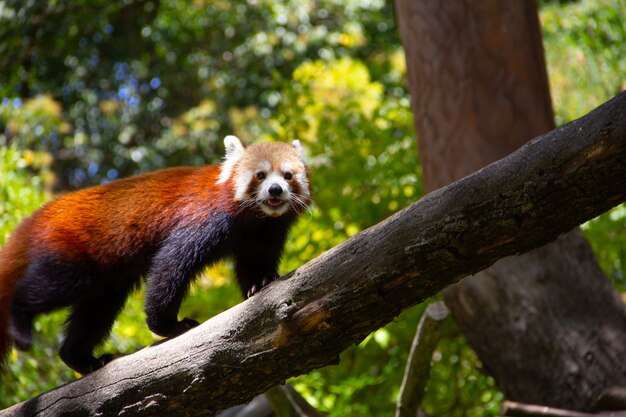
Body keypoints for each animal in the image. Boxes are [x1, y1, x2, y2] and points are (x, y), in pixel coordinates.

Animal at [0, 136, 310, 374]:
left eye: (287, 175)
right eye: (261, 175)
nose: (275, 190)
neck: (254, 218)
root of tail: (33, 220)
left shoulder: (264, 232)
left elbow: (255, 262)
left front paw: (261, 283)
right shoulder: (203, 220)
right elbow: (170, 265)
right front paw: (168, 325)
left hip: (107, 280)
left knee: (96, 311)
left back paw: (81, 358)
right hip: (71, 255)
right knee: (49, 288)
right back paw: (20, 319)